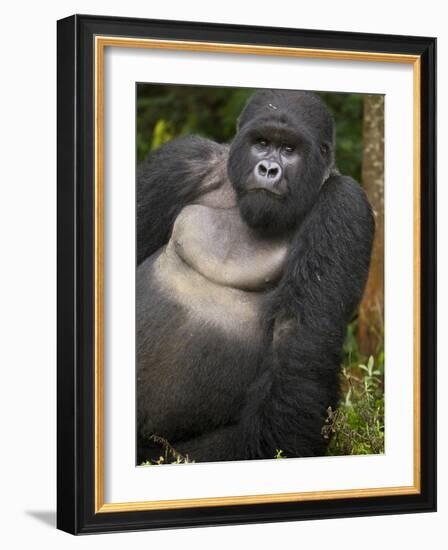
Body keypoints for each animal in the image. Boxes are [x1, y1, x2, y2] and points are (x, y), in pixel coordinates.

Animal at [136, 90, 374, 466]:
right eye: (261, 144)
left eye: (289, 150)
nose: (268, 169)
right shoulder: (181, 161)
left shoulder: (343, 205)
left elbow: (297, 352)